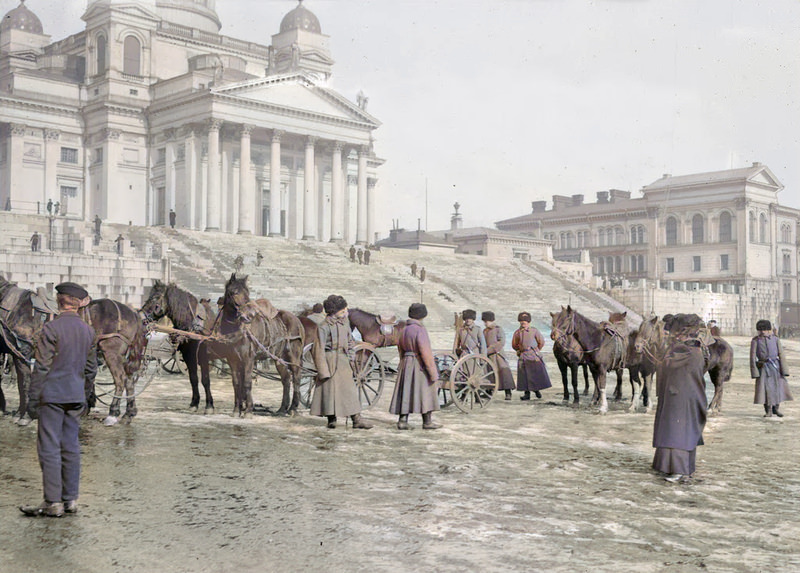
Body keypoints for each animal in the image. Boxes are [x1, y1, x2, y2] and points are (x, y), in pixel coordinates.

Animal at [141, 280, 216, 412]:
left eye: (156, 297)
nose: (143, 316)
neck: (193, 324)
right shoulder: (188, 356)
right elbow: (193, 378)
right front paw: (194, 403)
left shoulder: (203, 357)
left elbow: (205, 379)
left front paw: (209, 405)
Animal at [208, 274, 304, 416]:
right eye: (234, 292)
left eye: (247, 293)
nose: (246, 316)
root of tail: (297, 319)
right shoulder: (232, 360)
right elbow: (237, 383)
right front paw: (237, 409)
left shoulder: (249, 359)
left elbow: (247, 383)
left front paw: (248, 410)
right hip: (279, 359)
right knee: (286, 379)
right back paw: (282, 409)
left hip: (294, 357)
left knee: (296, 378)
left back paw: (293, 408)